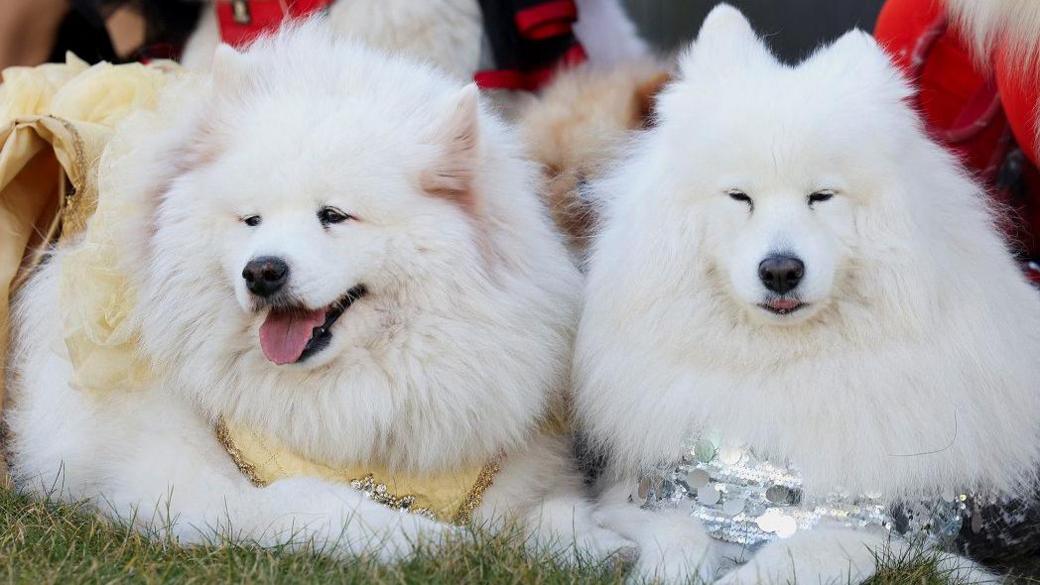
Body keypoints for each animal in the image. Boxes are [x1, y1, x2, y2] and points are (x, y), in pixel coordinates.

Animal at [6, 21, 624, 562]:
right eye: (251, 220)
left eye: (334, 215)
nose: (262, 271)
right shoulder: (180, 485)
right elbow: (305, 499)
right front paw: (424, 539)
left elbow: (551, 510)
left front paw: (596, 543)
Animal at [574, 5, 1040, 582]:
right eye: (739, 196)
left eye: (821, 196)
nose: (780, 271)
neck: (781, 368)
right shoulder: (639, 492)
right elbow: (674, 532)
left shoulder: (879, 531)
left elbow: (794, 552)